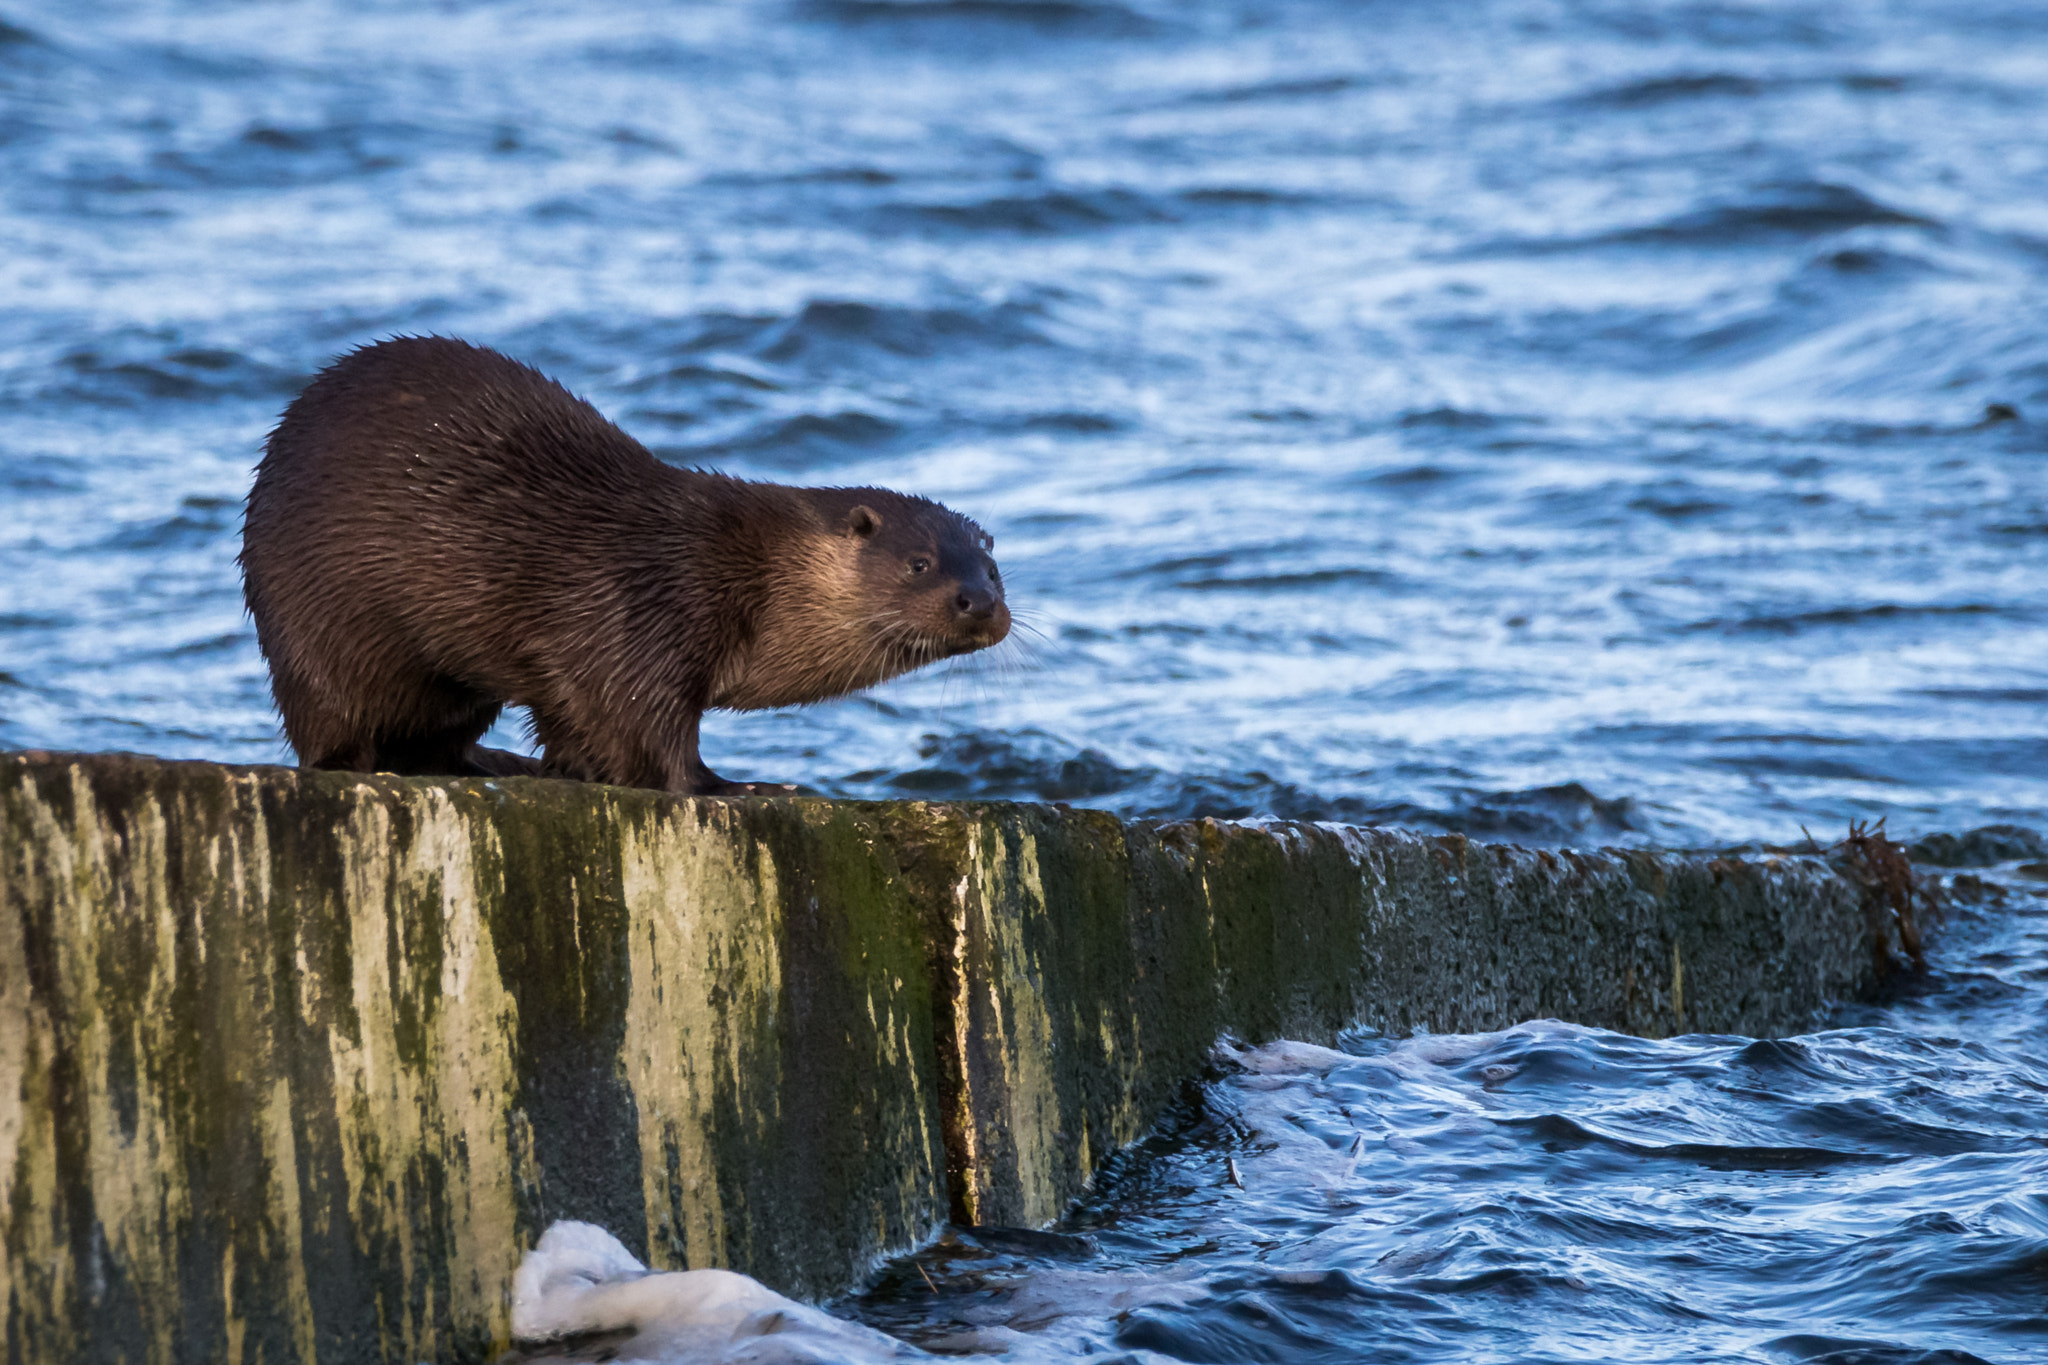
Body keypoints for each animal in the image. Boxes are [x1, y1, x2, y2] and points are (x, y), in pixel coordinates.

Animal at [240, 336, 1009, 794]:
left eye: (993, 568)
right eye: (919, 563)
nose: (979, 603)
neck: (748, 570)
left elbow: (581, 724)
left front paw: (575, 770)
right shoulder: (640, 615)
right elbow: (647, 725)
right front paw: (731, 786)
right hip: (322, 640)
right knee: (343, 737)